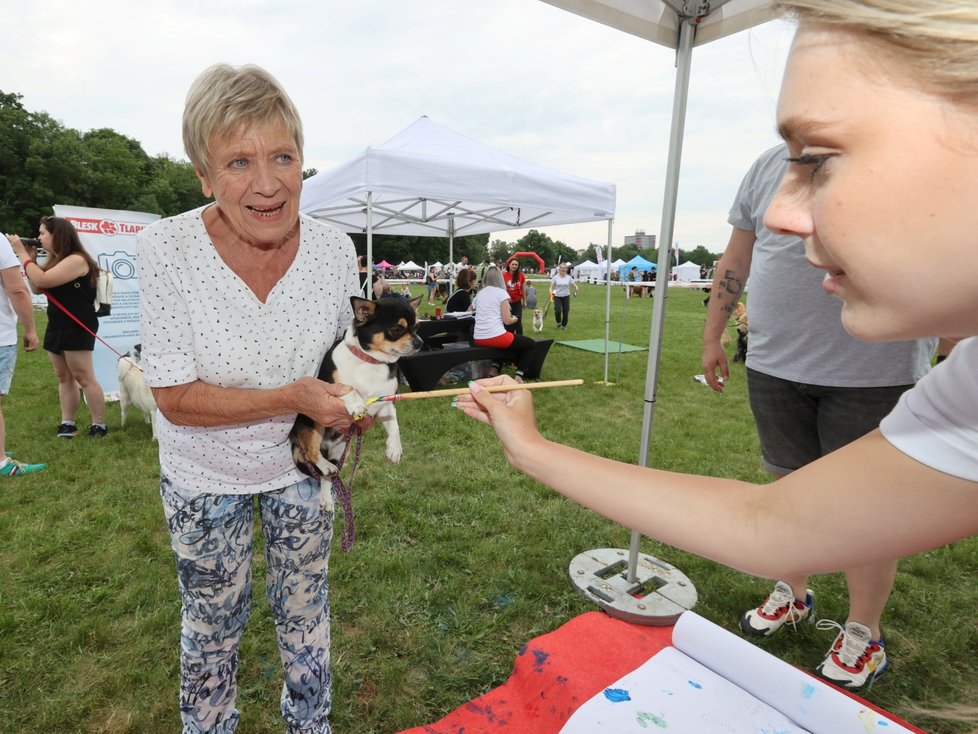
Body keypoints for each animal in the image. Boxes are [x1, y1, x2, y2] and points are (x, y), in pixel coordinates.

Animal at [288, 294, 422, 506]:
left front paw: (394, 449)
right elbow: (350, 390)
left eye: (417, 327)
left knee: (329, 475)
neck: (371, 362)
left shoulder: (386, 404)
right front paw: (357, 404)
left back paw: (326, 497)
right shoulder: (332, 388)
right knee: (312, 453)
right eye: (397, 329)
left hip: (343, 449)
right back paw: (324, 466)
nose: (420, 342)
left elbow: (395, 426)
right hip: (315, 422)